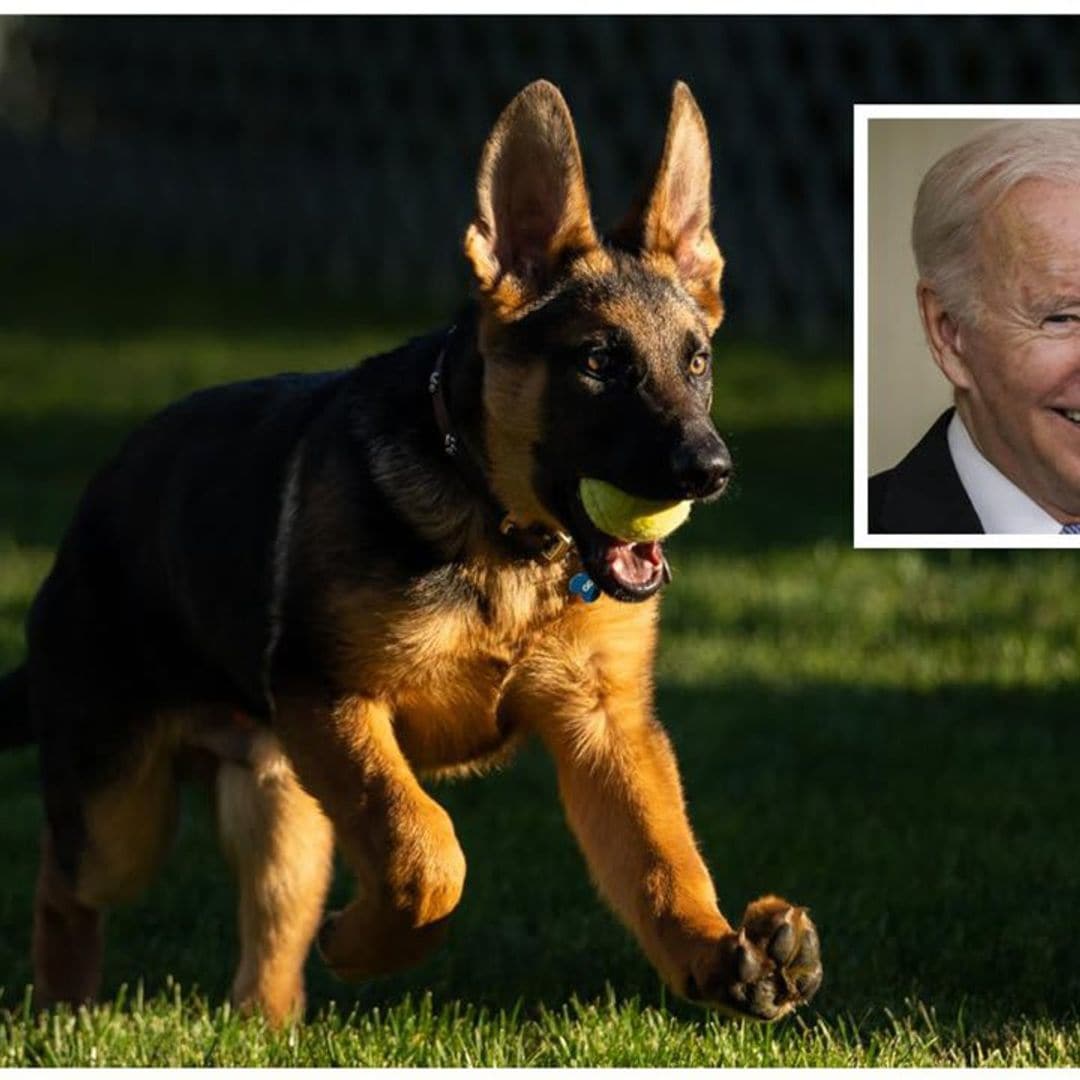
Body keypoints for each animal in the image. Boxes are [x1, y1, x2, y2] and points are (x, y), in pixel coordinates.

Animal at [0, 79, 816, 1023]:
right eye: (599, 362)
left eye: (698, 362)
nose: (710, 471)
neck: (505, 540)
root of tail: (86, 516)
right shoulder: (336, 700)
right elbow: (426, 847)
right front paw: (368, 946)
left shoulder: (605, 726)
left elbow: (660, 859)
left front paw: (722, 955)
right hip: (122, 811)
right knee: (62, 882)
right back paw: (63, 1006)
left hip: (282, 805)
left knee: (265, 943)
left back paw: (268, 1025)